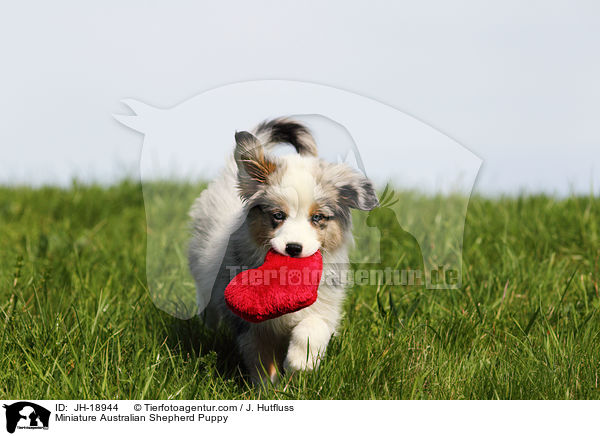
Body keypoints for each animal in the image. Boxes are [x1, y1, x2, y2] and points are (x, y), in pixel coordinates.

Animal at [188, 117, 378, 384]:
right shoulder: (252, 327)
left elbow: (312, 329)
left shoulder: (325, 306)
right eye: (278, 215)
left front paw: (299, 363)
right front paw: (267, 387)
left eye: (317, 217)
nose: (294, 248)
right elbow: (260, 359)